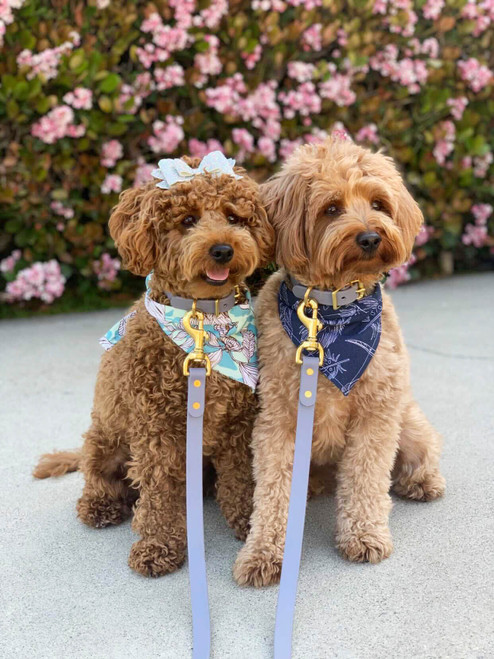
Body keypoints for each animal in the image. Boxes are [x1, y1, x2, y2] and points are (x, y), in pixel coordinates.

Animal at [34, 161, 274, 576]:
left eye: (234, 217)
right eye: (188, 219)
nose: (223, 249)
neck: (200, 324)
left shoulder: (237, 424)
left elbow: (242, 478)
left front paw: (247, 522)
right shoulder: (157, 430)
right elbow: (159, 494)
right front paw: (158, 546)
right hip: (104, 440)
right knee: (98, 479)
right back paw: (99, 505)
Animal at [233, 135, 446, 588]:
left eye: (379, 203)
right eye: (331, 208)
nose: (369, 237)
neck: (329, 314)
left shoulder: (376, 414)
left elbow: (366, 478)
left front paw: (364, 535)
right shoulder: (278, 420)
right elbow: (273, 490)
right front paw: (264, 553)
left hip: (407, 421)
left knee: (421, 450)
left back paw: (422, 481)